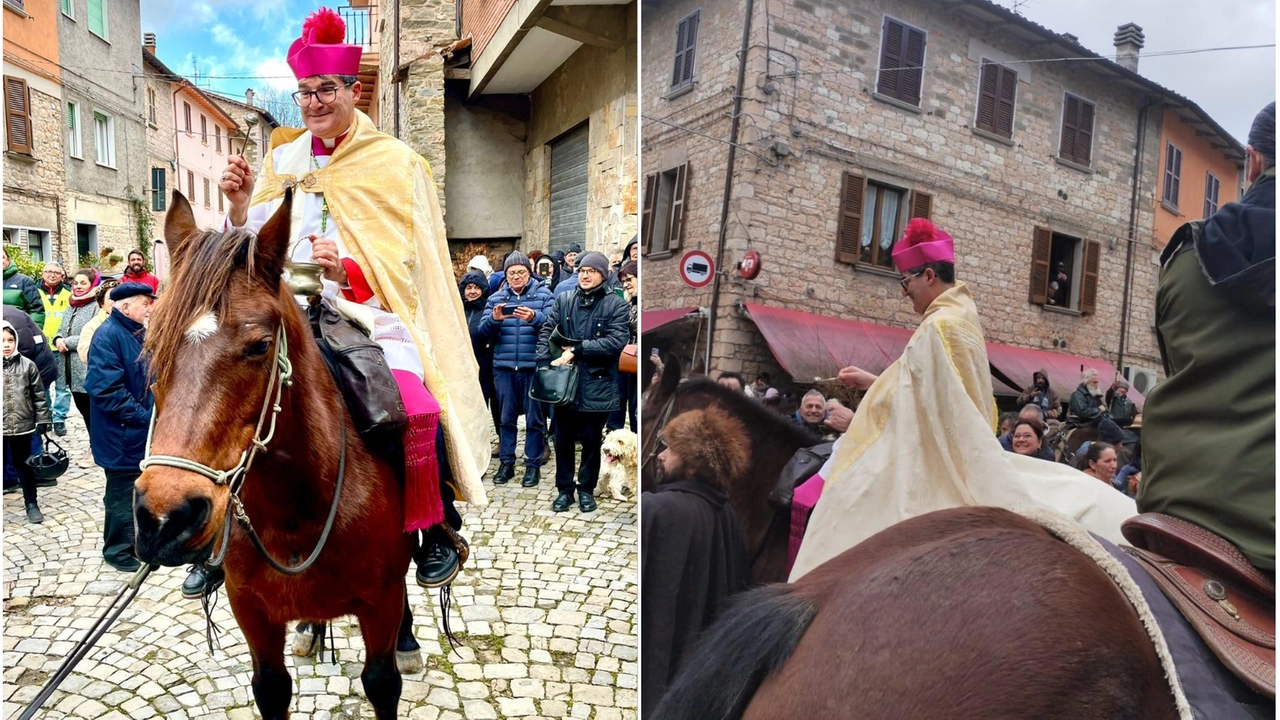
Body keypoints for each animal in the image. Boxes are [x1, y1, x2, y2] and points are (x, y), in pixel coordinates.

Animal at [131, 192, 409, 717]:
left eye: (260, 346)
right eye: (152, 344)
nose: (164, 518)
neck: (297, 509)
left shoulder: (383, 602)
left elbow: (382, 682)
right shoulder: (252, 611)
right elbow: (271, 687)